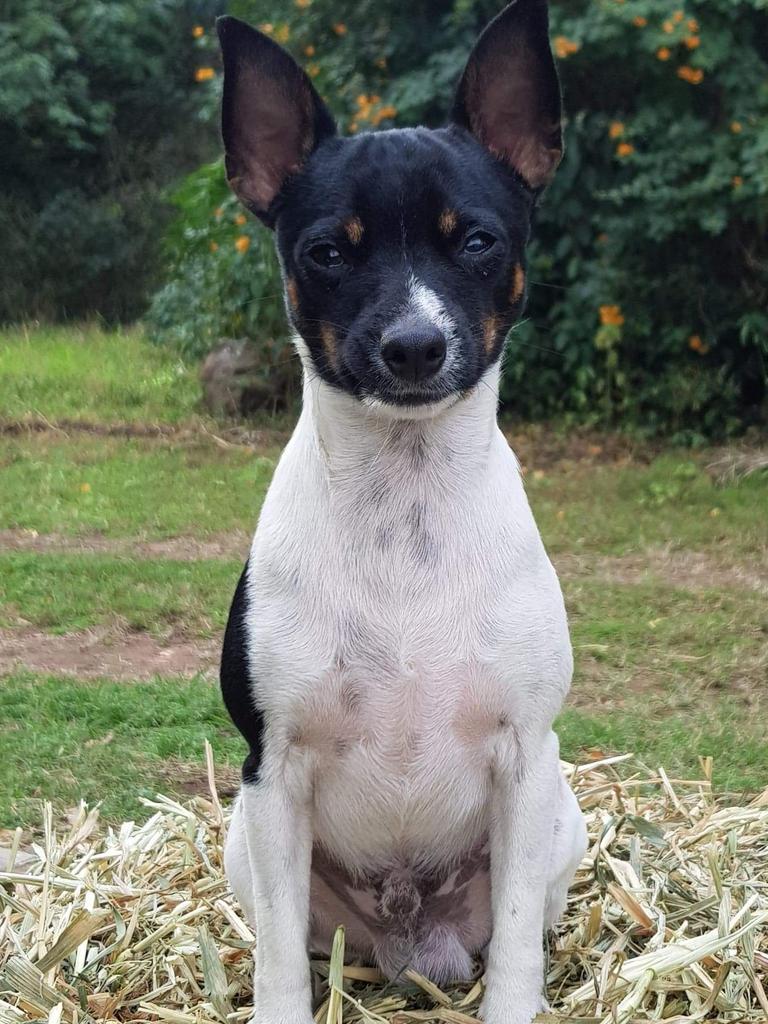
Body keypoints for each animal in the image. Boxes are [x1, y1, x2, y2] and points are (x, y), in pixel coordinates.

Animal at [217, 4, 589, 1019]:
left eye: (477, 241)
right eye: (327, 252)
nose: (414, 345)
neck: (406, 510)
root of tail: (404, 934)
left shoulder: (524, 763)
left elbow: (517, 952)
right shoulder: (274, 775)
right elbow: (275, 961)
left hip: (562, 816)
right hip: (241, 834)